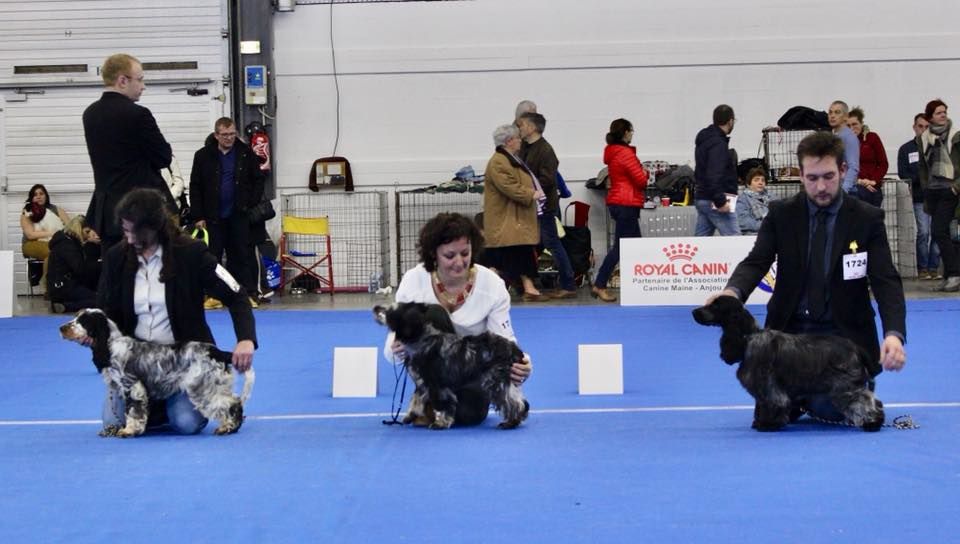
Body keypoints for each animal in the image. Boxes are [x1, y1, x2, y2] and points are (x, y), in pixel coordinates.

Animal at [374, 302, 524, 430]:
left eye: (390, 311)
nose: (375, 308)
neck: (422, 340)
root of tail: (513, 349)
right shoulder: (423, 381)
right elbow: (416, 399)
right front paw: (411, 415)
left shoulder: (437, 384)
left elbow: (443, 404)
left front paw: (441, 423)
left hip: (495, 380)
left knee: (515, 402)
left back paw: (511, 422)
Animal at [692, 296, 880, 432]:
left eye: (715, 306)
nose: (694, 311)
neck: (749, 336)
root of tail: (854, 346)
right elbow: (762, 403)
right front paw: (760, 422)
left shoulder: (768, 384)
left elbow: (773, 402)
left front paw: (767, 424)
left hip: (844, 387)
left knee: (865, 402)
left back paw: (872, 423)